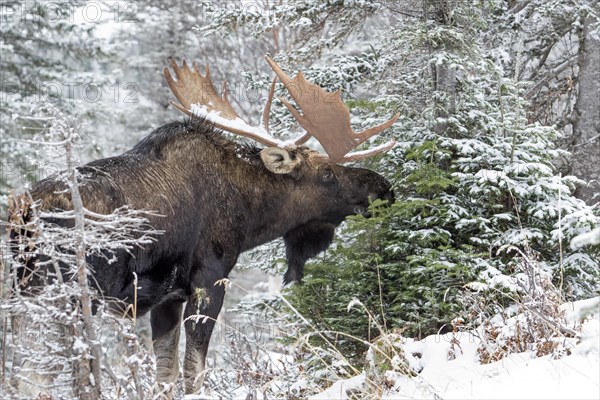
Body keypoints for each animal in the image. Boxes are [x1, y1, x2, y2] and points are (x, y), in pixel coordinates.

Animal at [10, 55, 398, 394]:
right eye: (328, 173)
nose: (385, 188)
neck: (250, 212)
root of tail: (22, 213)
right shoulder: (209, 279)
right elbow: (194, 372)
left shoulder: (168, 299)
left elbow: (165, 375)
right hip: (63, 296)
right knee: (38, 377)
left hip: (22, 293)